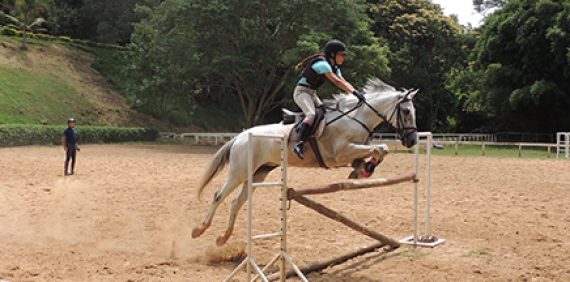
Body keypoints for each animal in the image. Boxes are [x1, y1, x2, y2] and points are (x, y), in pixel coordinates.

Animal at [191, 78, 418, 246]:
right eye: (407, 111)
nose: (412, 141)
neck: (355, 117)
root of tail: (240, 136)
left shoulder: (352, 154)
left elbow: (377, 152)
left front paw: (365, 169)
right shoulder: (340, 154)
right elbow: (381, 148)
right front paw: (367, 167)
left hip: (257, 174)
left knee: (237, 202)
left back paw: (223, 238)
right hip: (238, 172)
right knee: (218, 196)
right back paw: (199, 230)